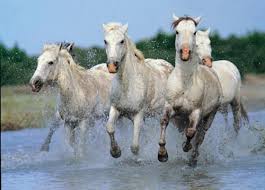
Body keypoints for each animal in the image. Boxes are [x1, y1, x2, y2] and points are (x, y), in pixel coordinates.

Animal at [102, 22, 173, 157]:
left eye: (122, 41)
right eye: (105, 41)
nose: (112, 65)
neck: (127, 85)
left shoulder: (139, 114)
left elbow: (135, 147)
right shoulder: (116, 108)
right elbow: (109, 128)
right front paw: (115, 151)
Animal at [158, 15, 222, 166]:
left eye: (194, 32)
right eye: (177, 31)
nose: (185, 53)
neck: (184, 83)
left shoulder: (196, 112)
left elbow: (191, 132)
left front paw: (186, 147)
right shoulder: (170, 106)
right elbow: (164, 121)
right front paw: (162, 154)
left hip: (209, 116)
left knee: (200, 136)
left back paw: (193, 158)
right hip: (181, 119)